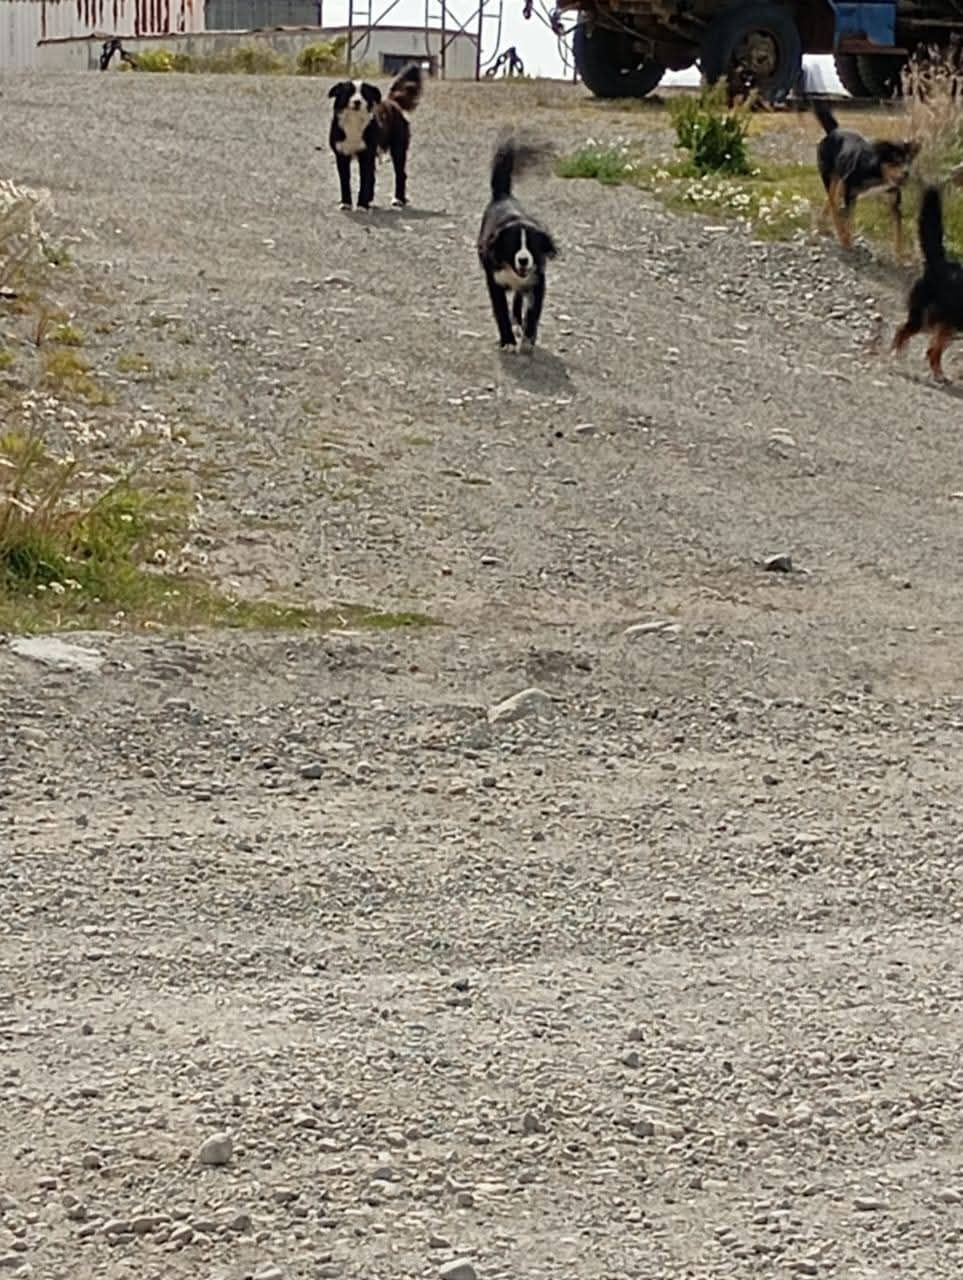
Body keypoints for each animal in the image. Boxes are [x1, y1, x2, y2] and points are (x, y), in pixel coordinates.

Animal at [325, 64, 423, 211]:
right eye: (348, 92)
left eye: (364, 94)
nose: (357, 102)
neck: (354, 120)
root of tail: (392, 102)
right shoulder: (342, 154)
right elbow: (345, 181)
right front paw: (346, 203)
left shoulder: (366, 153)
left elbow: (364, 180)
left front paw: (361, 205)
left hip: (398, 148)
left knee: (400, 174)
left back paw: (398, 199)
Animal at [477, 131, 558, 353]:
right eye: (512, 245)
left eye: (532, 246)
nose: (523, 260)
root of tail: (503, 195)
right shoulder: (494, 281)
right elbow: (501, 312)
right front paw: (508, 341)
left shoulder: (537, 280)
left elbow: (533, 313)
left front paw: (528, 339)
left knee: (518, 297)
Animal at [813, 100, 920, 257]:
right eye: (896, 160)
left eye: (909, 161)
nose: (906, 173)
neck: (879, 173)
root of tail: (834, 131)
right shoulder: (850, 192)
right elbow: (848, 220)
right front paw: (847, 240)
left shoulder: (894, 203)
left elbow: (898, 231)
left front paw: (900, 256)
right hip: (831, 178)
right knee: (833, 207)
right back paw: (839, 232)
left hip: (839, 184)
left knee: (831, 204)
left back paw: (822, 226)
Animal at [892, 183, 963, 381]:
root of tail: (939, 262)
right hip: (926, 319)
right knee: (903, 331)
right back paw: (895, 357)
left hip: (947, 324)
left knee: (932, 351)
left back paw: (939, 375)